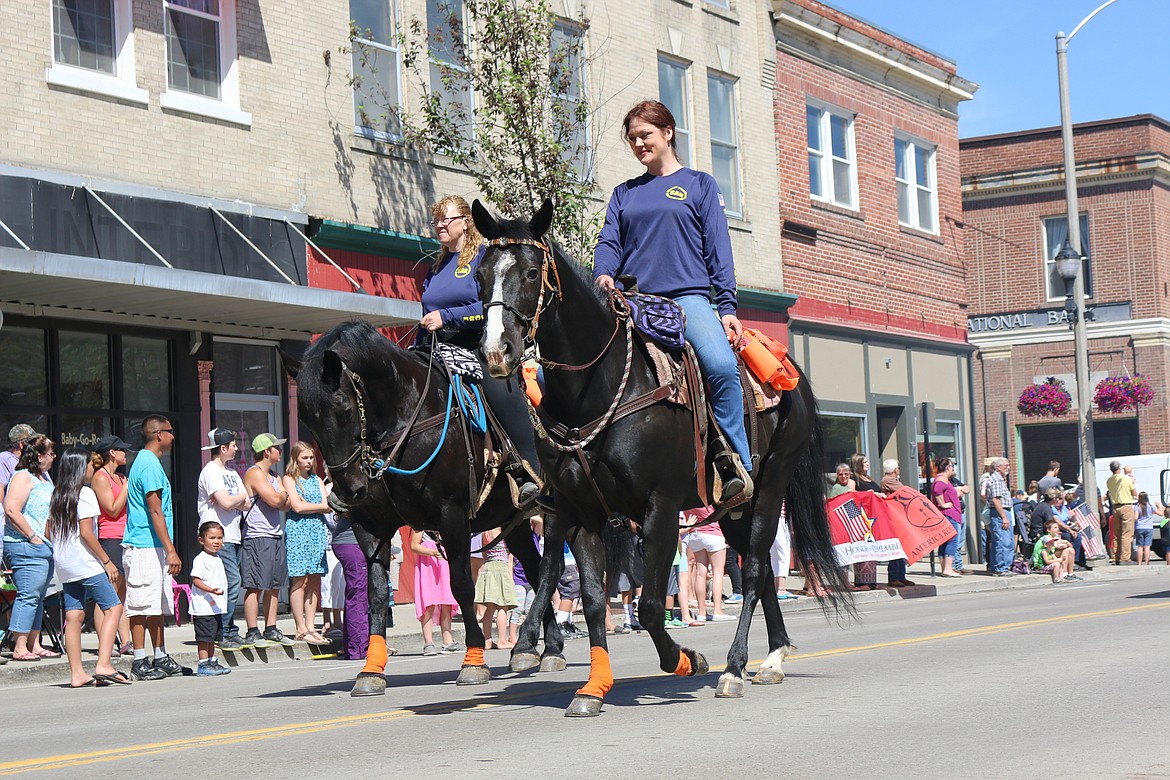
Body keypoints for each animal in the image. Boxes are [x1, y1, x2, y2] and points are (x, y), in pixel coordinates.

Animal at [278, 320, 561, 696]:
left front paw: (473, 661)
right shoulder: (370, 526)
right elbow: (377, 596)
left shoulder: (451, 516)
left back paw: (538, 646)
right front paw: (371, 670)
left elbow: (461, 585)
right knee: (533, 567)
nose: (349, 490)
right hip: (509, 519)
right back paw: (539, 648)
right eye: (308, 421)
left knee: (549, 568)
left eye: (344, 411)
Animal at [472, 203, 851, 720]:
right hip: (732, 507)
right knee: (759, 570)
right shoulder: (581, 510)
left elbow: (651, 604)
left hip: (770, 485)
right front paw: (592, 689)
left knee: (755, 570)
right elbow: (595, 601)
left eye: (532, 273)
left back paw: (735, 668)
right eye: (479, 275)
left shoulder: (661, 506)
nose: (496, 352)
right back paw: (772, 657)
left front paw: (685, 659)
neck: (598, 387)